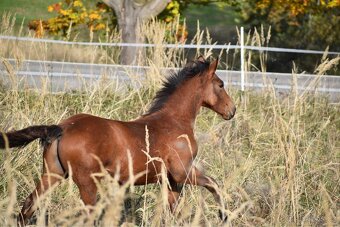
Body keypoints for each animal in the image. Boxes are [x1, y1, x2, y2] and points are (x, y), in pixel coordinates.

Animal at [0, 55, 236, 224]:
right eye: (221, 84)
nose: (232, 110)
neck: (174, 120)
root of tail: (63, 128)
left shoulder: (171, 180)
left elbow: (175, 211)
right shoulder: (182, 171)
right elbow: (214, 184)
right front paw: (224, 216)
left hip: (52, 174)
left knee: (28, 206)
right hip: (87, 182)